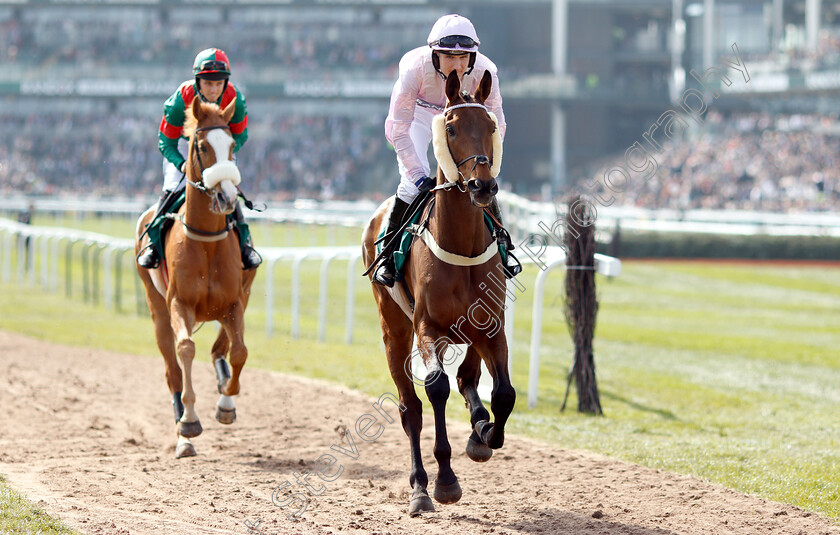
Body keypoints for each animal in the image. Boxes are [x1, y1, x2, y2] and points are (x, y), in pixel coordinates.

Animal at [135, 94, 258, 458]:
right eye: (202, 146)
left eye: (231, 145)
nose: (227, 197)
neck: (205, 242)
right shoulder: (180, 304)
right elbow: (186, 348)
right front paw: (189, 421)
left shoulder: (234, 302)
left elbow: (239, 351)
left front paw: (226, 403)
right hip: (157, 309)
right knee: (171, 368)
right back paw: (182, 433)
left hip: (242, 294)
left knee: (223, 346)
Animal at [360, 70, 512, 516]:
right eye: (452, 128)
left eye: (491, 127)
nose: (483, 185)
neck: (461, 245)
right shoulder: (427, 328)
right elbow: (435, 389)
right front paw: (444, 481)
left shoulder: (492, 327)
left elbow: (503, 394)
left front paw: (485, 434)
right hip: (394, 330)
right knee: (411, 407)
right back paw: (420, 488)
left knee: (468, 378)